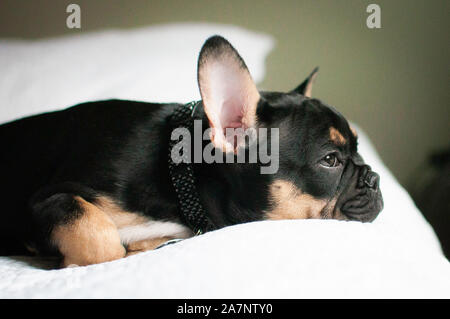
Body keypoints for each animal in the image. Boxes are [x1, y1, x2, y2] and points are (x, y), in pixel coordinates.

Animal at [0, 36, 384, 268]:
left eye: (358, 150)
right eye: (330, 160)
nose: (375, 178)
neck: (179, 175)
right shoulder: (47, 199)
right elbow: (99, 238)